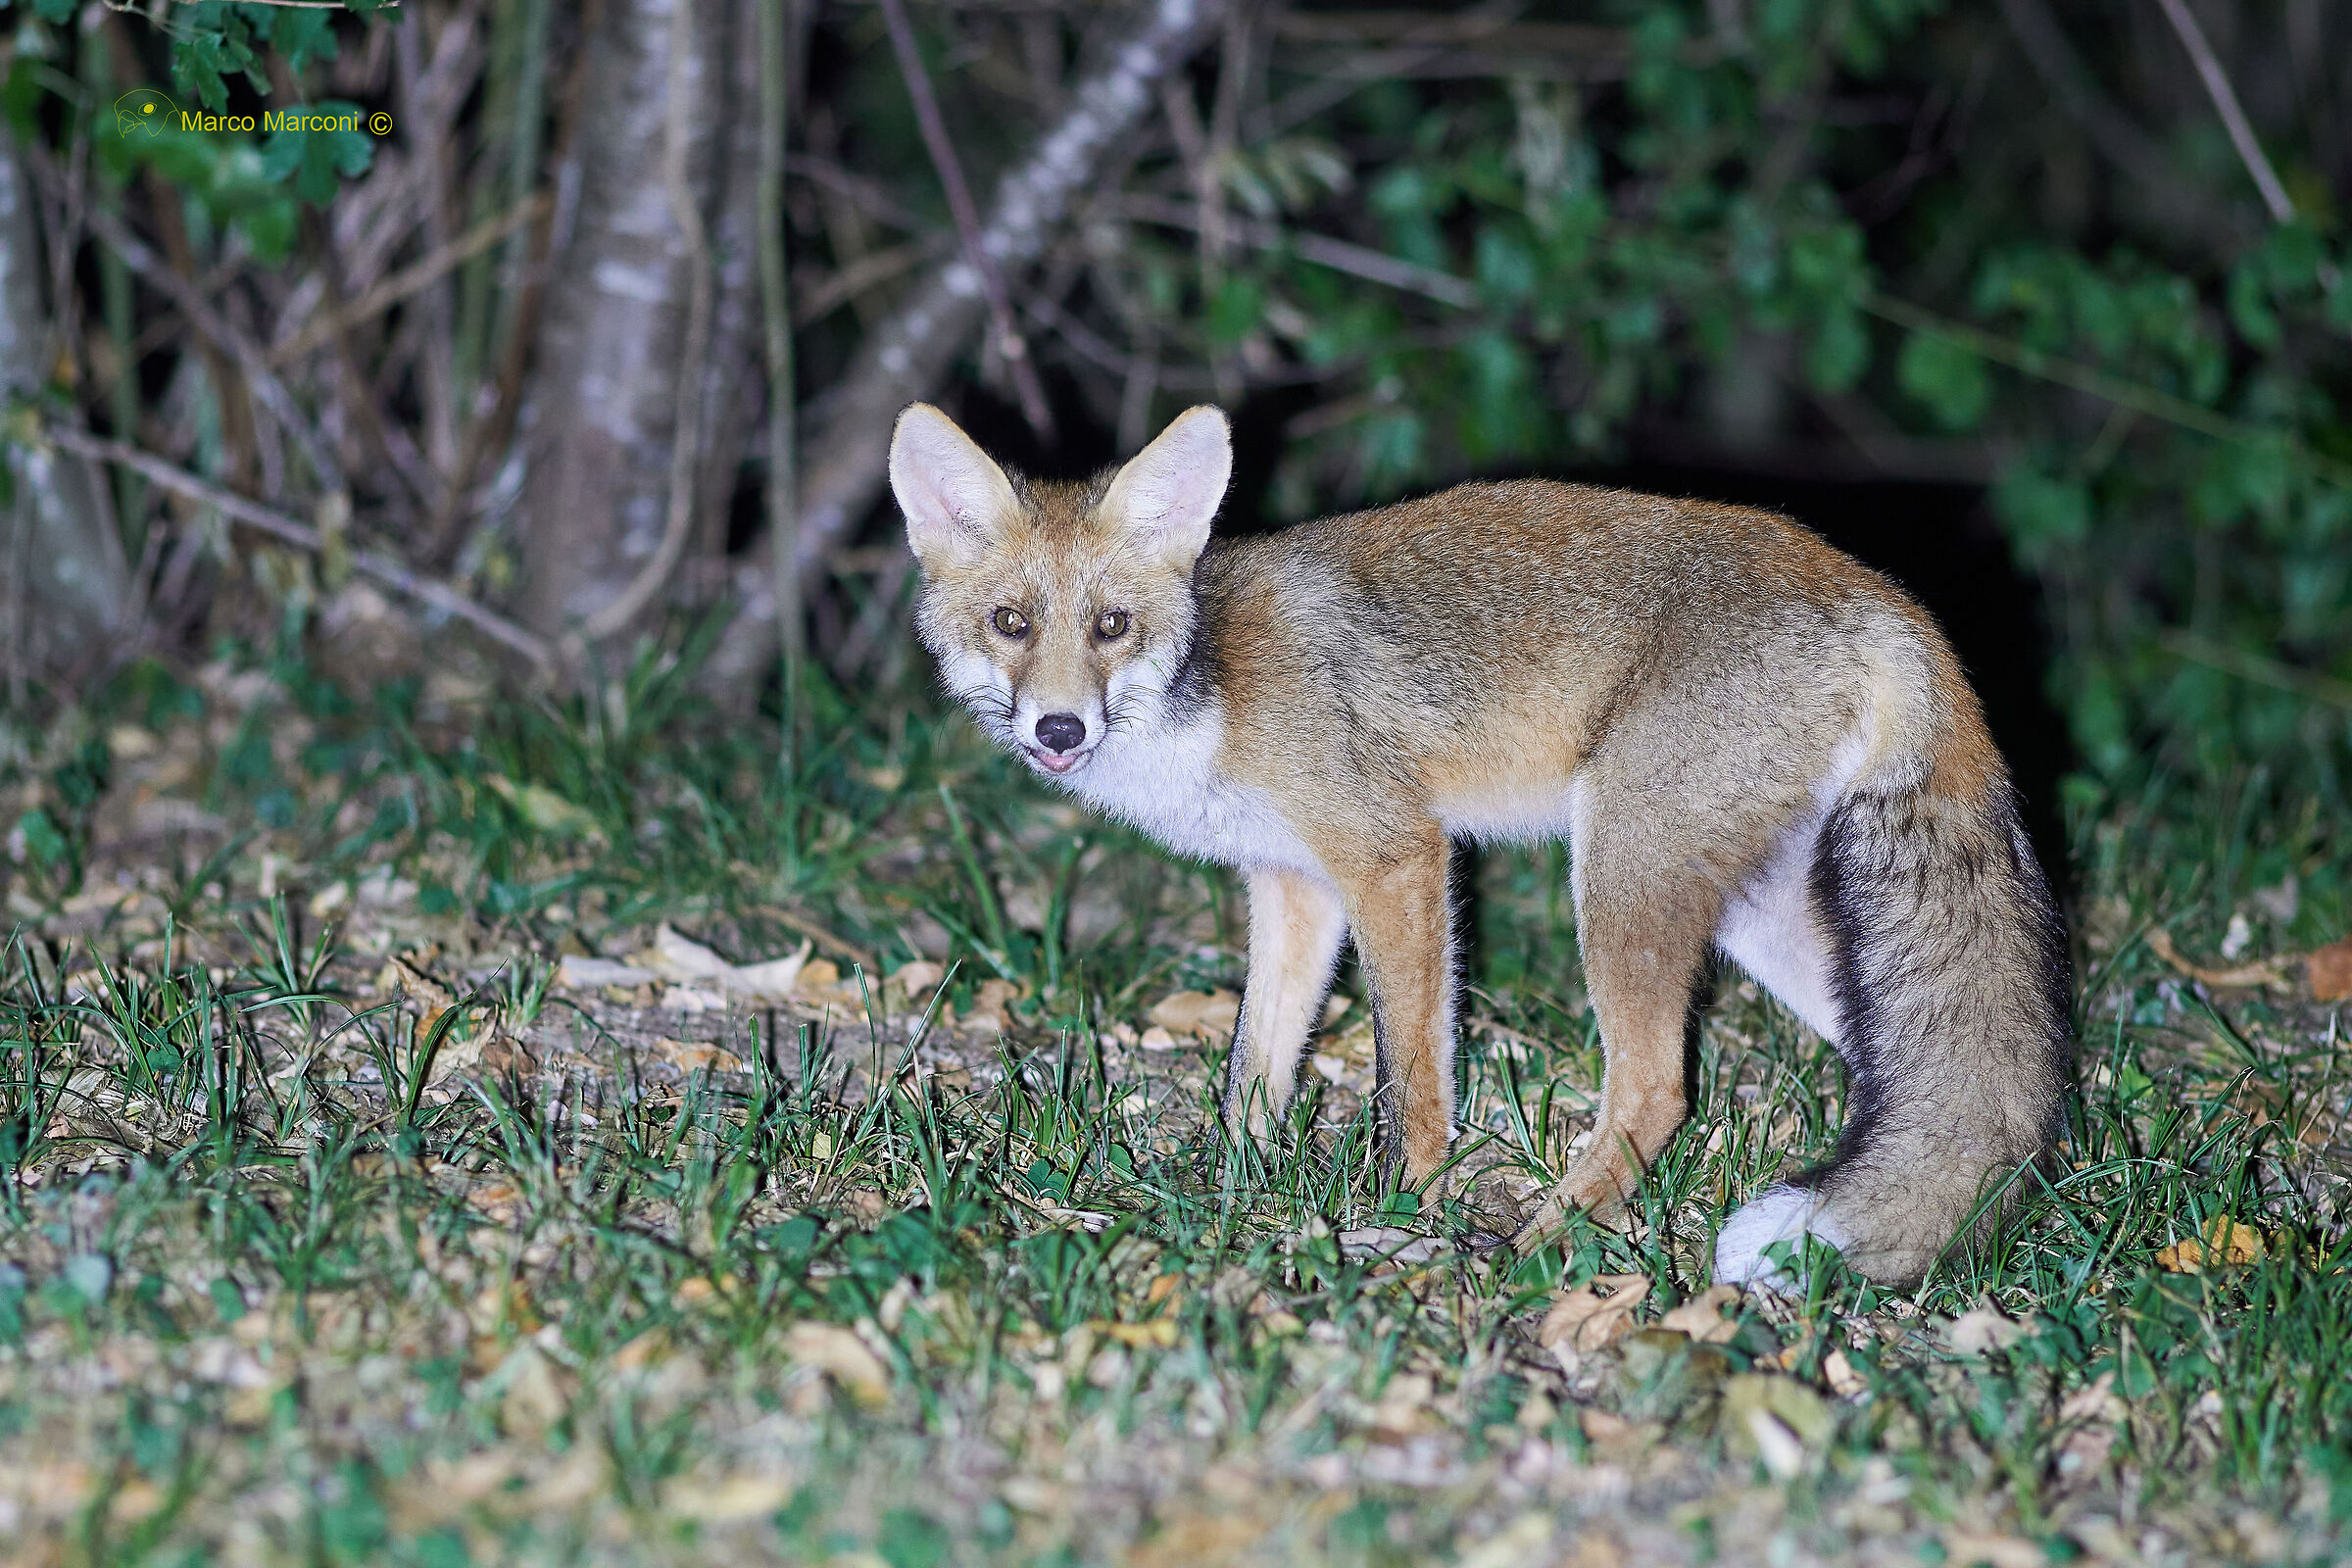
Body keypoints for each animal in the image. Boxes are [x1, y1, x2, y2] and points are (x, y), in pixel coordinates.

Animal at [888, 400, 2072, 1287]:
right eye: (1010, 624)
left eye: (1110, 627)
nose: (1058, 730)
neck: (1210, 694)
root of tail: (1883, 597)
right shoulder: (1293, 884)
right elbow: (1253, 1071)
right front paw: (1228, 1196)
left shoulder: (1394, 853)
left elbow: (1411, 1074)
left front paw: (1401, 1204)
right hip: (1759, 920)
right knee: (1955, 1087)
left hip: (1621, 874)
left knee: (1657, 1090)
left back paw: (1544, 1244)